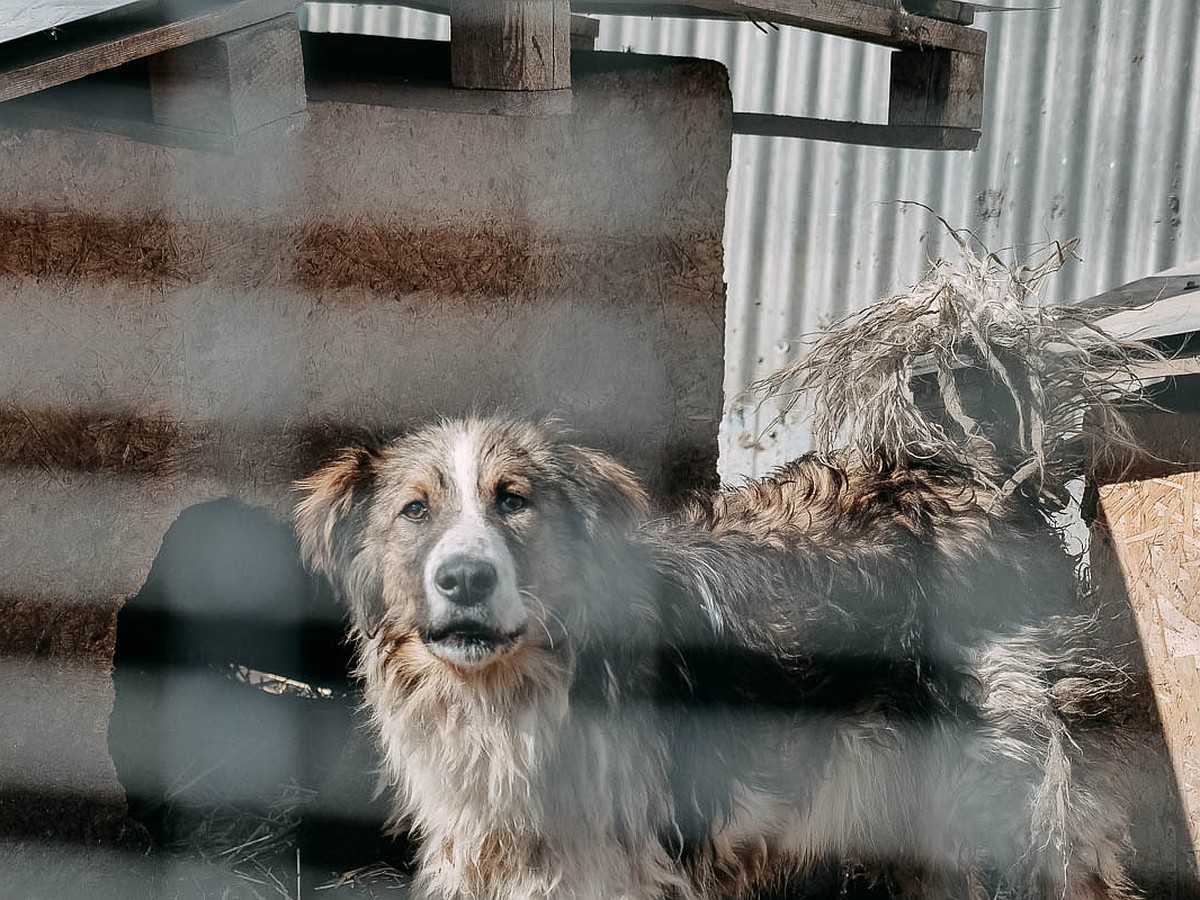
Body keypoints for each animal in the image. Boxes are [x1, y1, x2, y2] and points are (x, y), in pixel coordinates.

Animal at [290, 417, 1132, 900]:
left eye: (513, 500)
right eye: (415, 510)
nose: (464, 578)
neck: (511, 702)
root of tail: (987, 484)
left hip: (1030, 807)